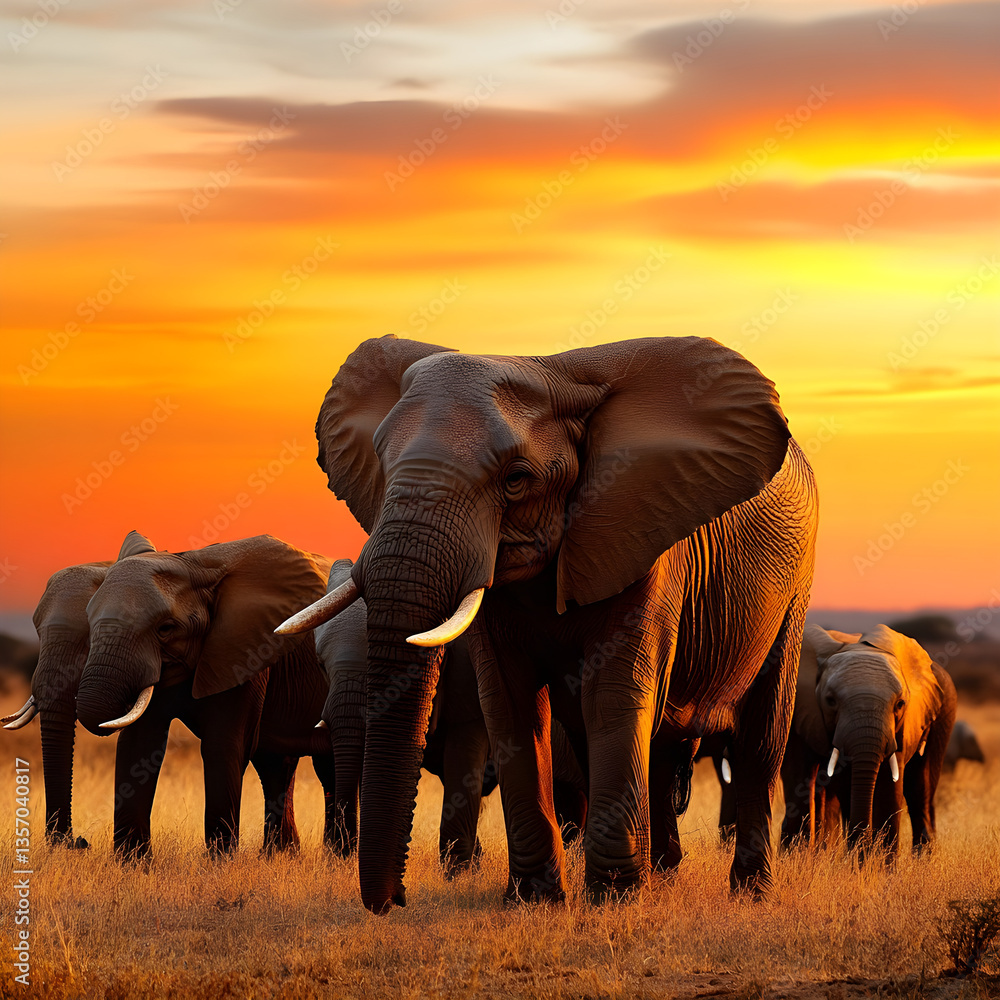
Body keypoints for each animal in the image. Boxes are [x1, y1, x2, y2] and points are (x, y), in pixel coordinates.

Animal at [3, 531, 338, 857]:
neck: (193, 563)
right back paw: (282, 855)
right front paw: (133, 863)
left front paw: (220, 863)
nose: (78, 842)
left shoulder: (246, 651)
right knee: (277, 764)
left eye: (165, 629)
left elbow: (223, 746)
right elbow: (138, 745)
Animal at [780, 624, 957, 855]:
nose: (860, 851)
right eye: (830, 701)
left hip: (945, 713)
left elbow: (889, 788)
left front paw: (881, 864)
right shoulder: (796, 712)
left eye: (900, 704)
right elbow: (800, 780)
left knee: (921, 790)